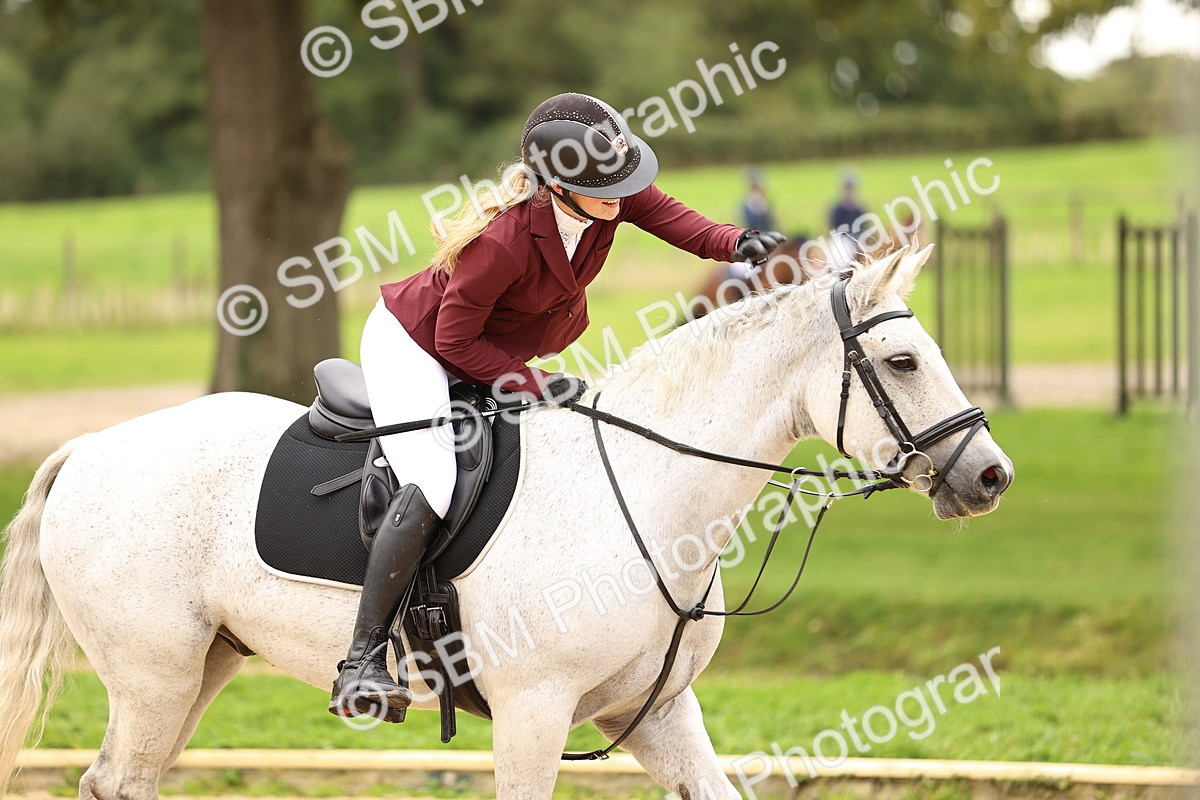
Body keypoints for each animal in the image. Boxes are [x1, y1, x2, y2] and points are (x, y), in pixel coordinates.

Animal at [0, 245, 1012, 799]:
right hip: (156, 675)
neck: (652, 491)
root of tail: (88, 448)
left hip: (198, 670)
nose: (992, 475)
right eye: (903, 360)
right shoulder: (532, 712)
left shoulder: (657, 713)